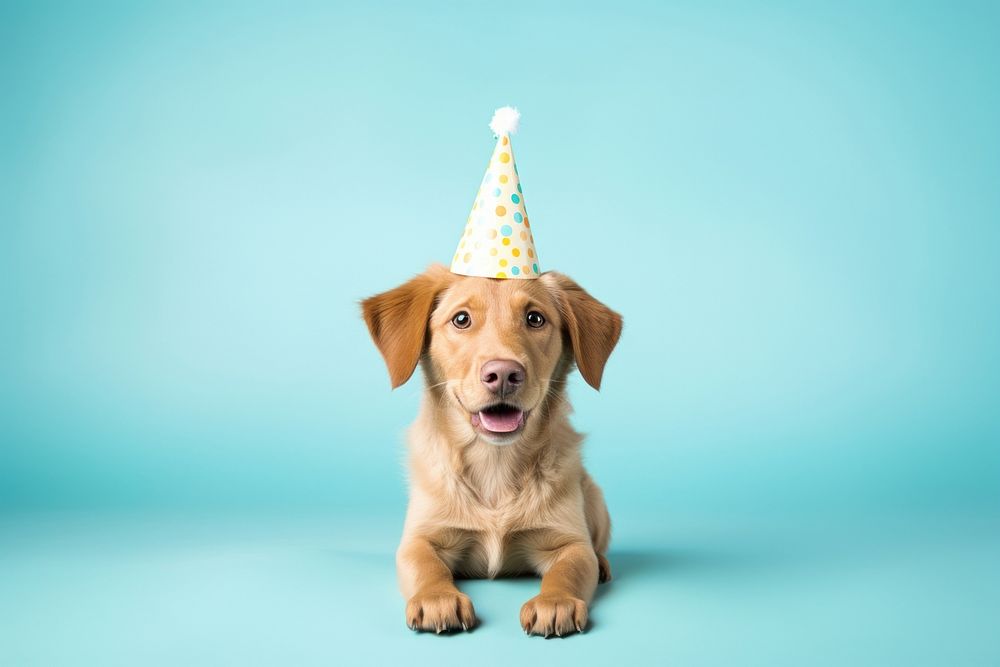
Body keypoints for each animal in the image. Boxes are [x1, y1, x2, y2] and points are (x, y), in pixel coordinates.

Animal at [364, 262, 620, 636]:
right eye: (461, 319)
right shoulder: (419, 538)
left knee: (597, 546)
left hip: (595, 498)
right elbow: (426, 565)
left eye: (535, 319)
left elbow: (569, 568)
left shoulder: (569, 542)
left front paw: (554, 600)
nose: (503, 374)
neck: (495, 462)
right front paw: (438, 597)